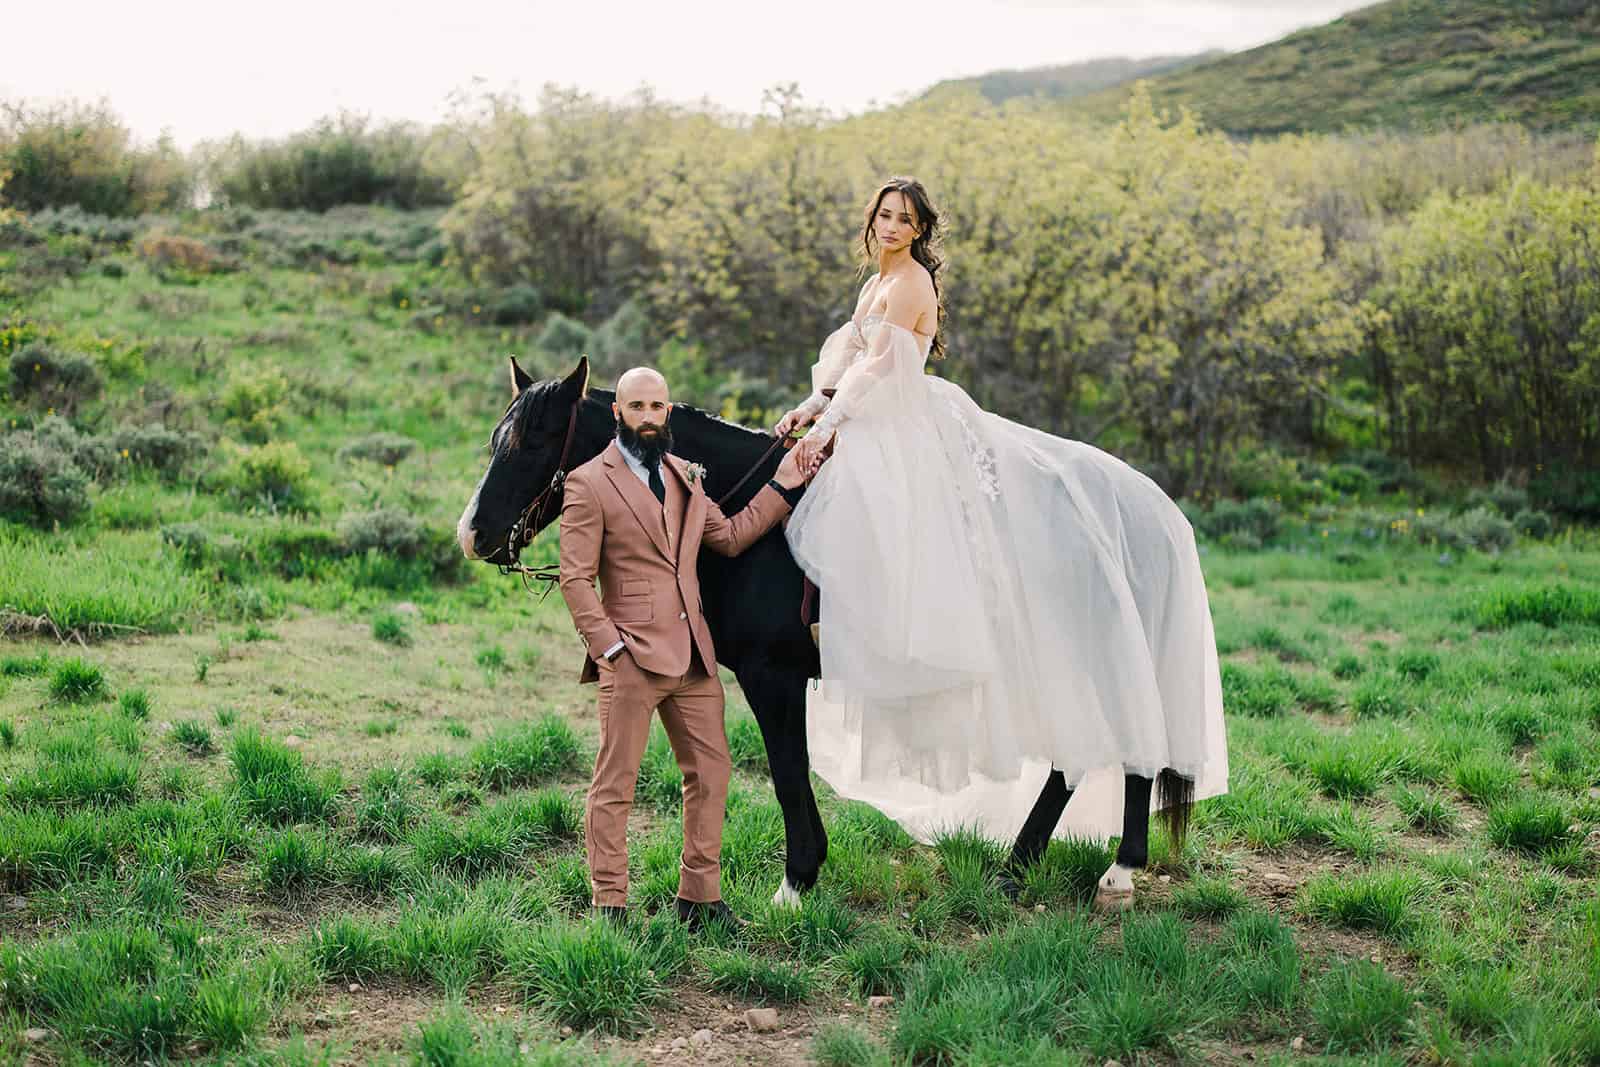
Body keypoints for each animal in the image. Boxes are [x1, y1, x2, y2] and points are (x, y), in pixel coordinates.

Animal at [457, 358, 1196, 908]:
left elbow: (787, 773)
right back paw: (1033, 865)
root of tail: (1140, 510)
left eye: (530, 443)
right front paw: (807, 870)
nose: (473, 533)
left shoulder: (772, 676)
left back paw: (1108, 869)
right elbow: (795, 770)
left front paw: (795, 882)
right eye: (495, 440)